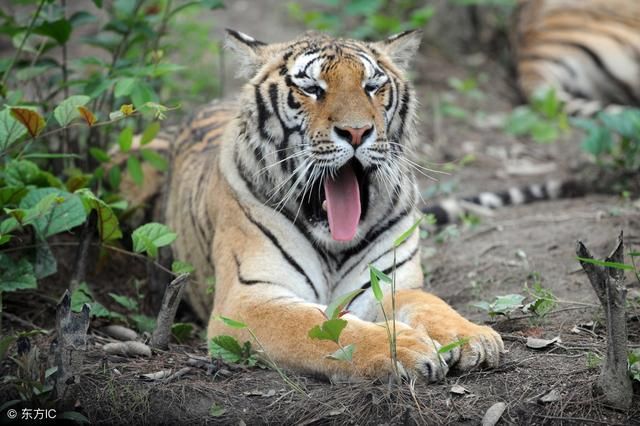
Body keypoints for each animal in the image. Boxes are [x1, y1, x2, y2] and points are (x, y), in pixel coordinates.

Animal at [161, 30, 504, 382]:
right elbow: (320, 327)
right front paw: (404, 347)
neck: (334, 244)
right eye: (312, 89)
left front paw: (471, 336)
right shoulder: (247, 298)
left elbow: (431, 304)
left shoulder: (389, 283)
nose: (356, 131)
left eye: (371, 86)